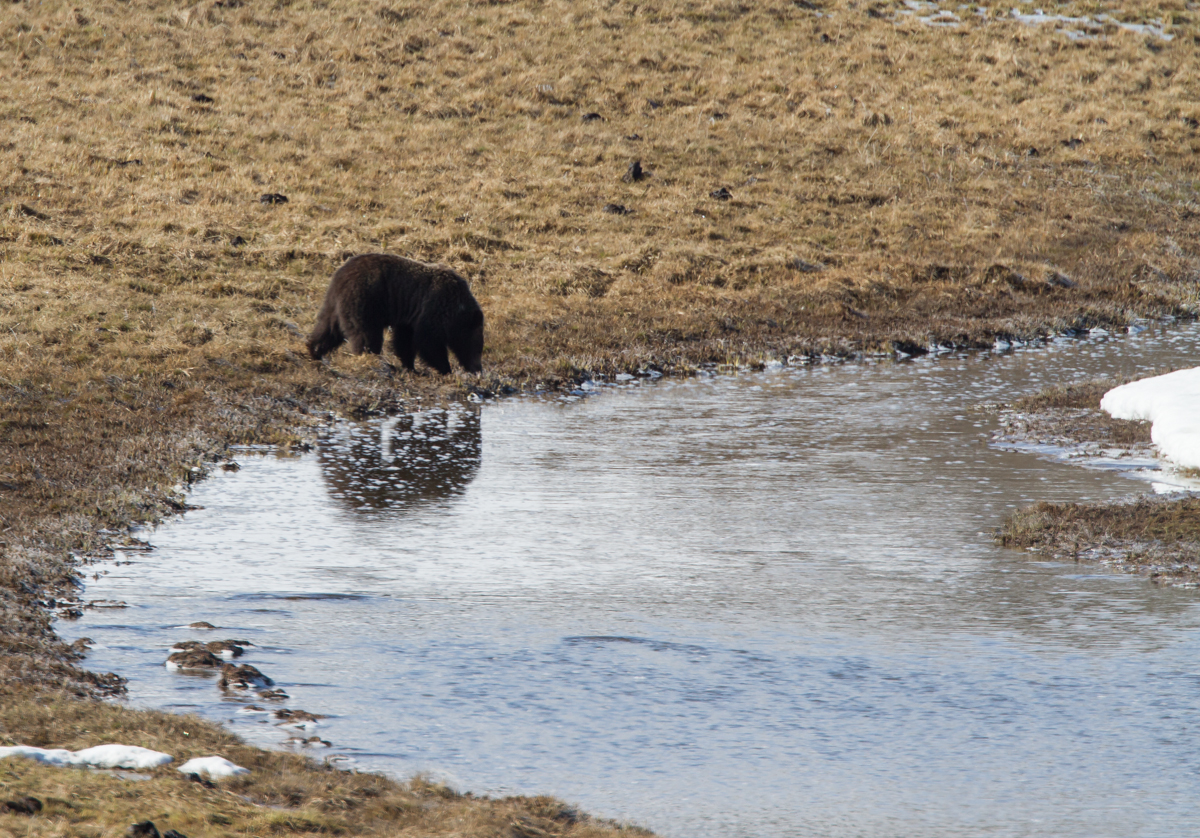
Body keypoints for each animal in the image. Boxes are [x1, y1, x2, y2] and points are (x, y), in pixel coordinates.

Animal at [306, 253, 484, 374]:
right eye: (478, 348)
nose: (478, 369)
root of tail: (340, 275)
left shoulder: (410, 318)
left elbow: (405, 341)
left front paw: (410, 366)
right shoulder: (435, 308)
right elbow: (428, 340)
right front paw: (445, 368)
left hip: (335, 303)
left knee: (328, 328)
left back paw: (314, 350)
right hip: (366, 300)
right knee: (366, 334)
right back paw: (371, 358)